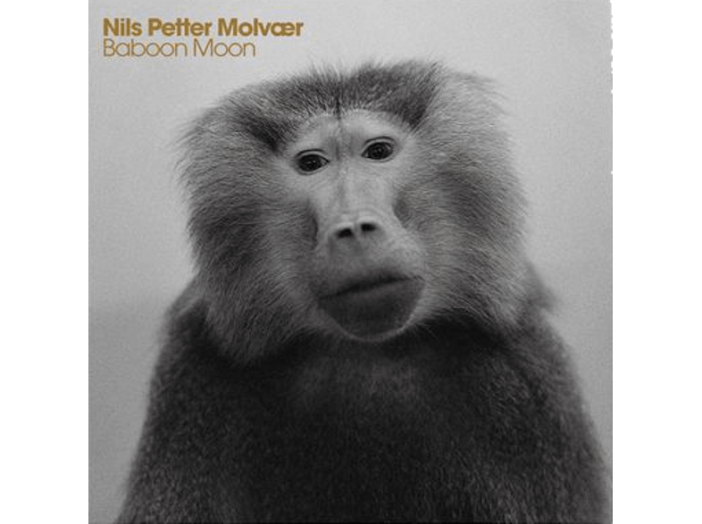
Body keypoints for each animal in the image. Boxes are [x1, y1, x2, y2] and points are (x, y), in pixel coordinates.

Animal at [119, 61, 609, 523]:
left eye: (378, 152)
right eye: (311, 163)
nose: (354, 227)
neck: (368, 352)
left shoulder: (522, 384)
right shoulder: (193, 380)